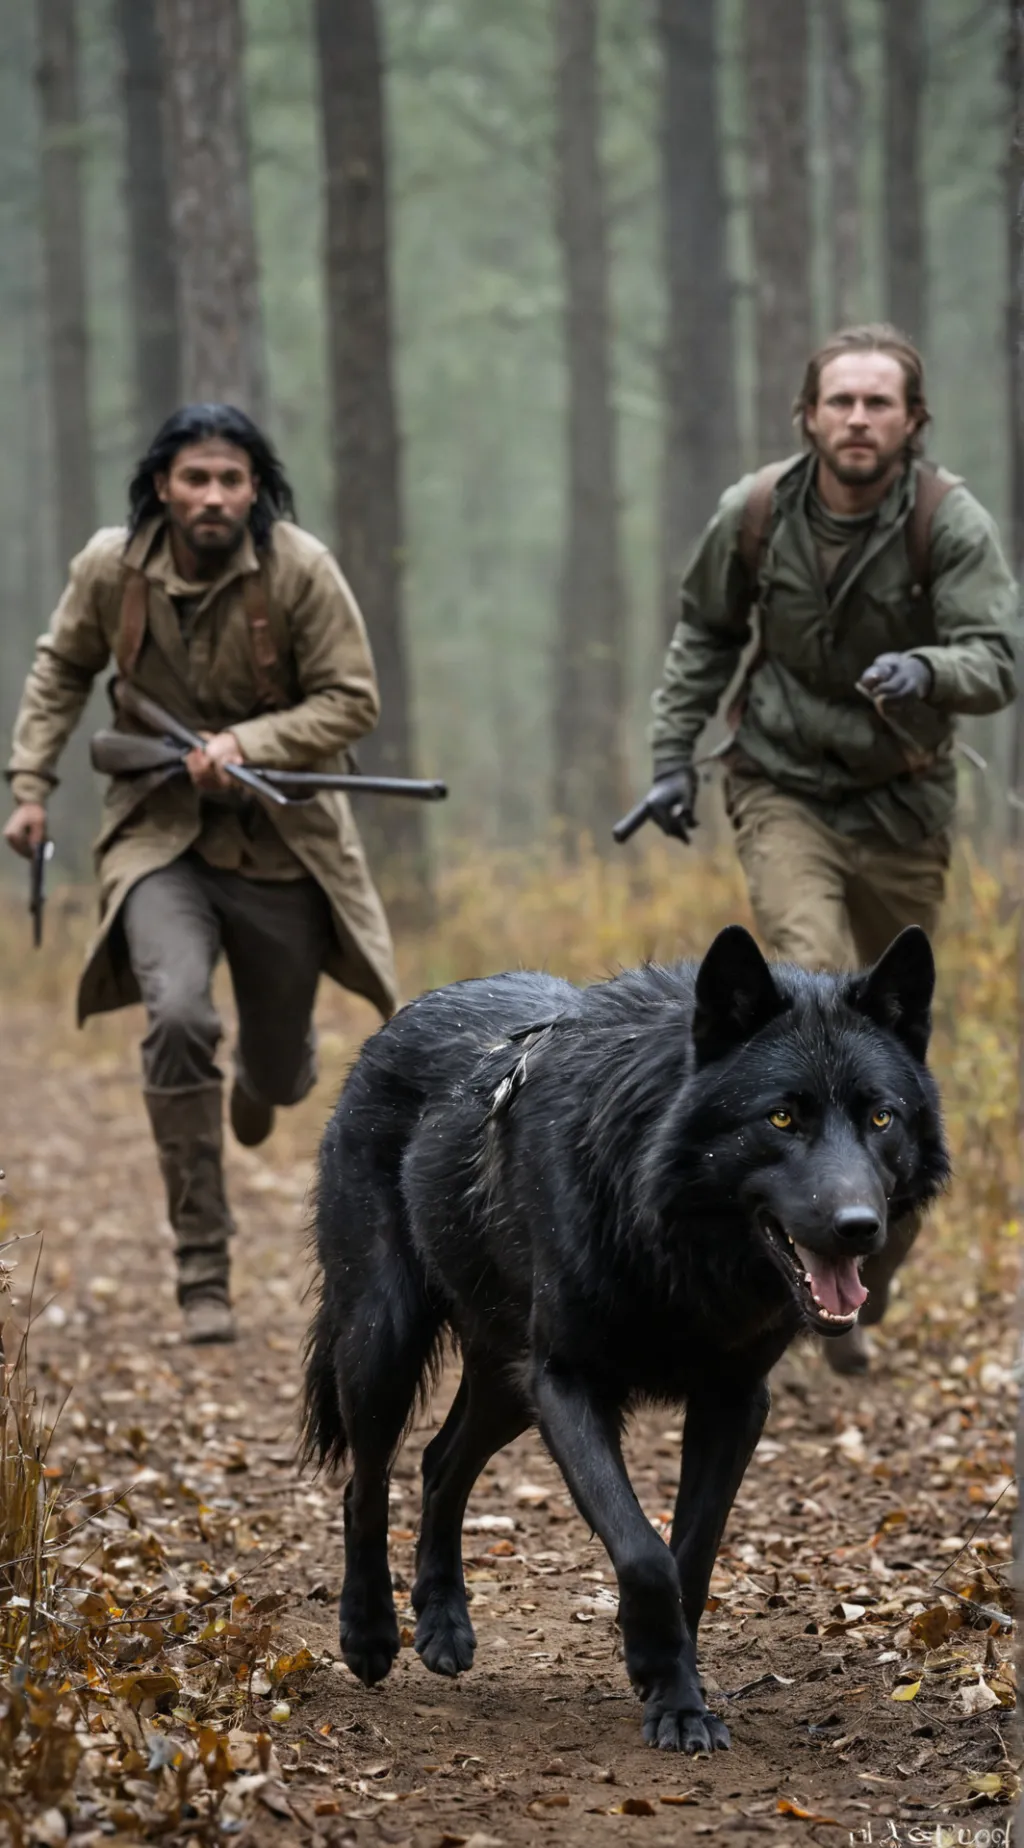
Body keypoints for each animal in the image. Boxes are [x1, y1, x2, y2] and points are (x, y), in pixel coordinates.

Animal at [303, 925, 947, 1753]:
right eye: (781, 1119)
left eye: (880, 1118)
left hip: (508, 1387)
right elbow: (643, 1553)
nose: (859, 1228)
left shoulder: (733, 1401)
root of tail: (399, 1018)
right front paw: (664, 1687)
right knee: (365, 1482)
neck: (669, 1243)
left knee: (441, 1464)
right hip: (387, 1344)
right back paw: (370, 1635)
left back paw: (443, 1626)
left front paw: (678, 1687)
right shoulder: (568, 1383)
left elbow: (690, 1558)